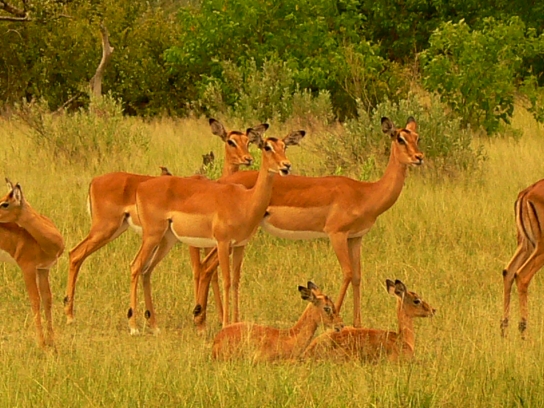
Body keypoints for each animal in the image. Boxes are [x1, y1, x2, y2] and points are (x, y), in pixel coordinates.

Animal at [0, 180, 64, 348]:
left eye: (5, 203)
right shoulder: (27, 268)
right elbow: (35, 300)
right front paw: (42, 344)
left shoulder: (43, 269)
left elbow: (47, 299)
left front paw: (52, 342)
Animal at [63, 118, 268, 325]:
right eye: (230, 141)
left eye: (247, 141)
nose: (248, 159)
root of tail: (94, 181)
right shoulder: (196, 244)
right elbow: (198, 270)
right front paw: (200, 315)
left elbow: (213, 274)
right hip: (106, 229)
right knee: (76, 254)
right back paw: (71, 316)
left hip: (116, 230)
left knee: (78, 255)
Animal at [127, 130, 305, 334]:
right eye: (267, 147)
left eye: (284, 146)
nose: (286, 165)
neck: (245, 201)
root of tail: (141, 187)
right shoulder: (222, 243)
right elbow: (226, 280)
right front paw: (226, 324)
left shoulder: (240, 245)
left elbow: (236, 282)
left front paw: (235, 322)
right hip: (152, 236)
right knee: (135, 266)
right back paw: (133, 327)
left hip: (166, 240)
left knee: (147, 270)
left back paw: (155, 326)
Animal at [194, 117, 423, 330]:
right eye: (400, 138)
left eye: (416, 137)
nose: (419, 157)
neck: (365, 193)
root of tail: (221, 181)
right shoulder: (336, 234)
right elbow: (347, 273)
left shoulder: (356, 237)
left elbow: (358, 276)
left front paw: (358, 325)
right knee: (206, 268)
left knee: (206, 268)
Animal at [501, 179, 544, 339]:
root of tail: (527, 192)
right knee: (522, 275)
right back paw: (524, 332)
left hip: (526, 245)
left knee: (508, 272)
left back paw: (504, 331)